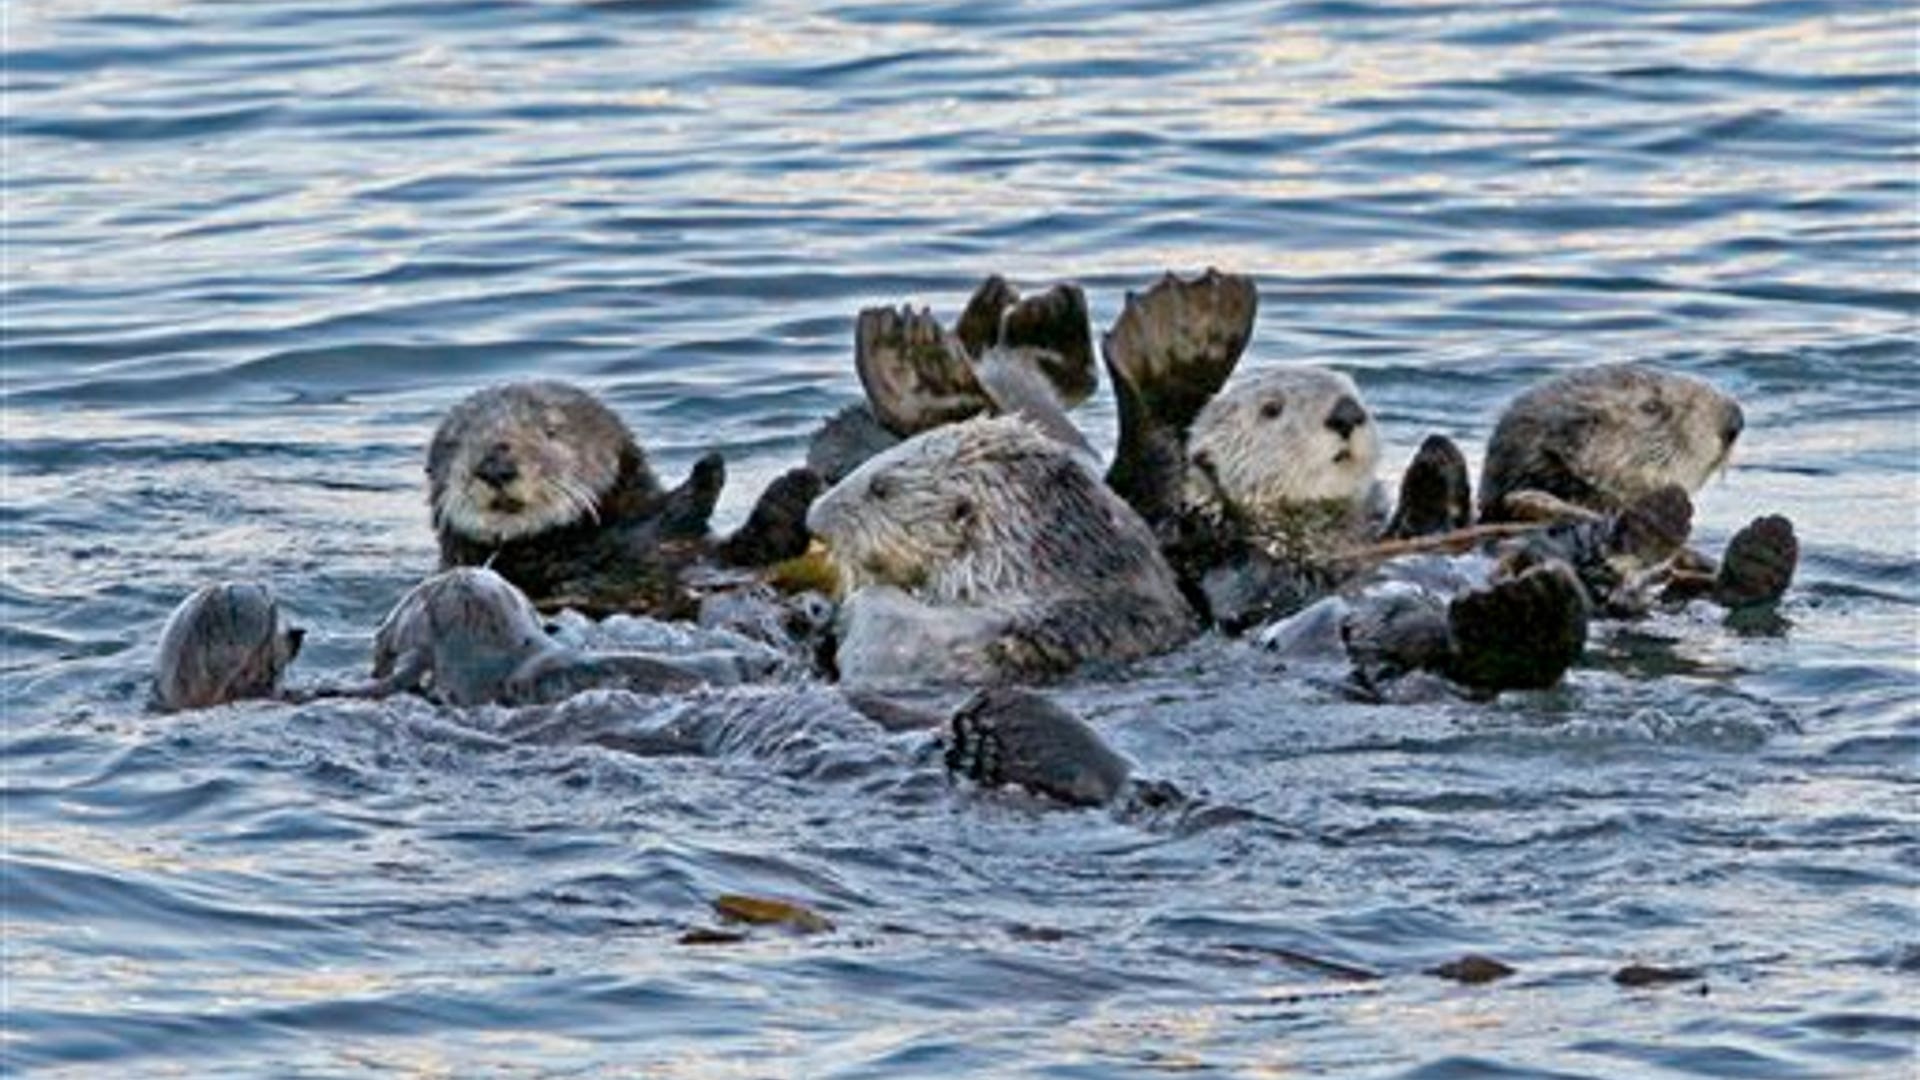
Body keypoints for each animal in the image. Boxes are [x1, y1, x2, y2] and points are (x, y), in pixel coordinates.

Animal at [428, 380, 821, 617]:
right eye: (456, 443)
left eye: (551, 431)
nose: (495, 466)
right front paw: (704, 477)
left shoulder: (709, 556)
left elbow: (755, 549)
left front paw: (798, 483)